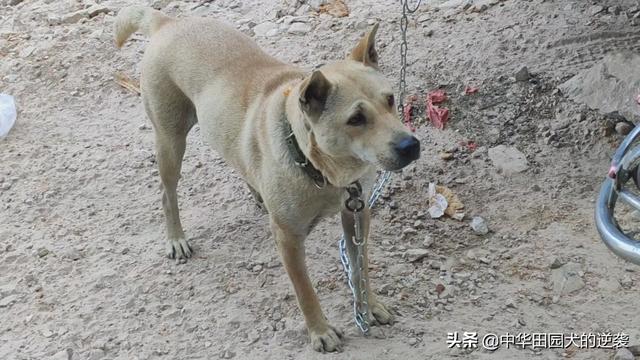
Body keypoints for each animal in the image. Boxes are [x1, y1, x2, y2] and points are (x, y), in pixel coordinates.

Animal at [114, 6, 420, 352]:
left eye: (390, 99)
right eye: (356, 119)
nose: (410, 146)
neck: (322, 171)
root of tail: (168, 22)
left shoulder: (357, 214)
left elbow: (361, 268)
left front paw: (370, 306)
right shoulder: (288, 238)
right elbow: (305, 291)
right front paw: (320, 331)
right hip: (170, 141)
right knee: (168, 193)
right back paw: (176, 238)